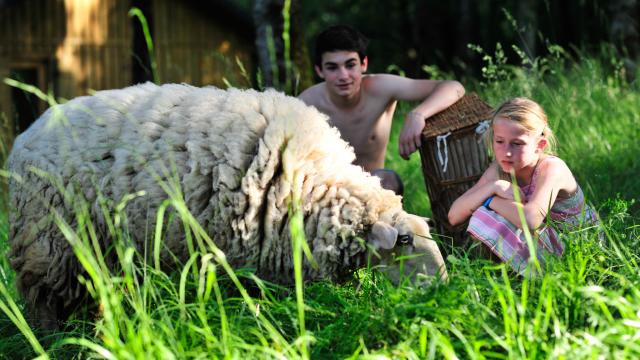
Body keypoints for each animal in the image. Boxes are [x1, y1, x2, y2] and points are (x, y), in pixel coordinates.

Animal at [7, 83, 448, 328]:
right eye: (404, 240)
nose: (445, 287)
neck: (315, 180)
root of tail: (26, 132)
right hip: (48, 244)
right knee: (45, 305)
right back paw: (56, 340)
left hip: (94, 252)